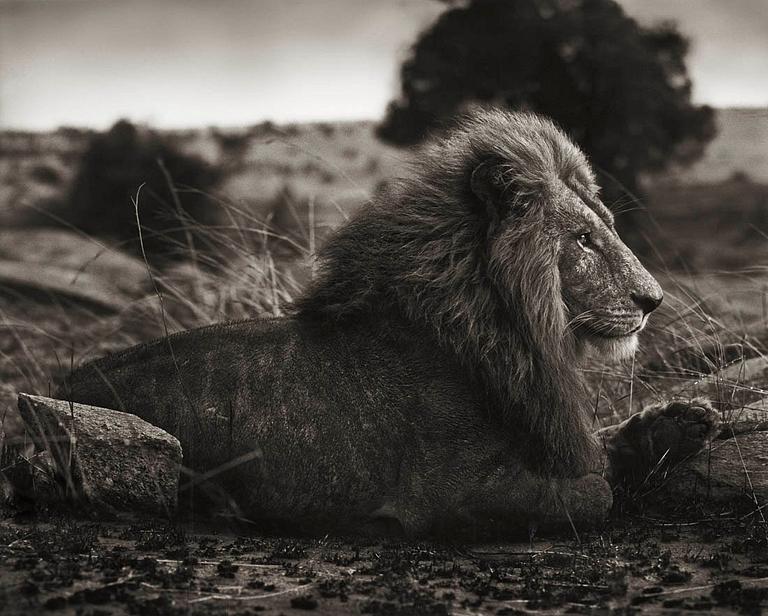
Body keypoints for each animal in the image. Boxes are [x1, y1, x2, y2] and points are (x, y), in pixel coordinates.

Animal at [55, 109, 720, 536]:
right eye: (582, 239)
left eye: (606, 224)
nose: (653, 300)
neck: (512, 328)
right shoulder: (446, 494)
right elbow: (594, 490)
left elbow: (603, 448)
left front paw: (679, 423)